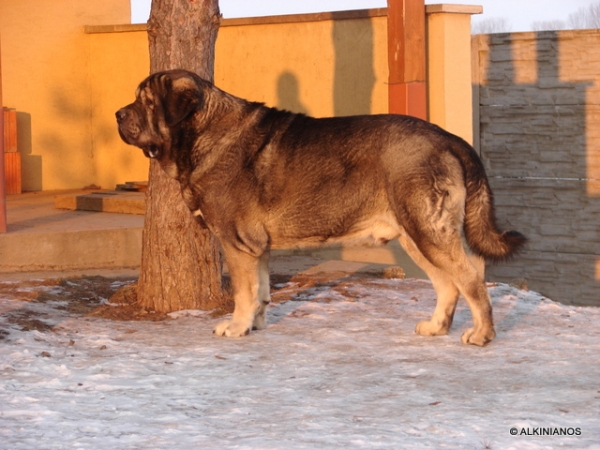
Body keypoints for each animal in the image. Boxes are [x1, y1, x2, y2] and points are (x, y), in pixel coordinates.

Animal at [117, 69, 524, 344]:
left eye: (146, 102)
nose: (119, 114)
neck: (205, 134)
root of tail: (449, 138)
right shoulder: (257, 249)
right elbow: (261, 290)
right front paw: (256, 324)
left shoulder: (237, 244)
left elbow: (243, 292)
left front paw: (236, 327)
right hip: (414, 236)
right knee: (447, 284)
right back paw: (436, 326)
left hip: (427, 231)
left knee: (470, 276)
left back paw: (482, 334)